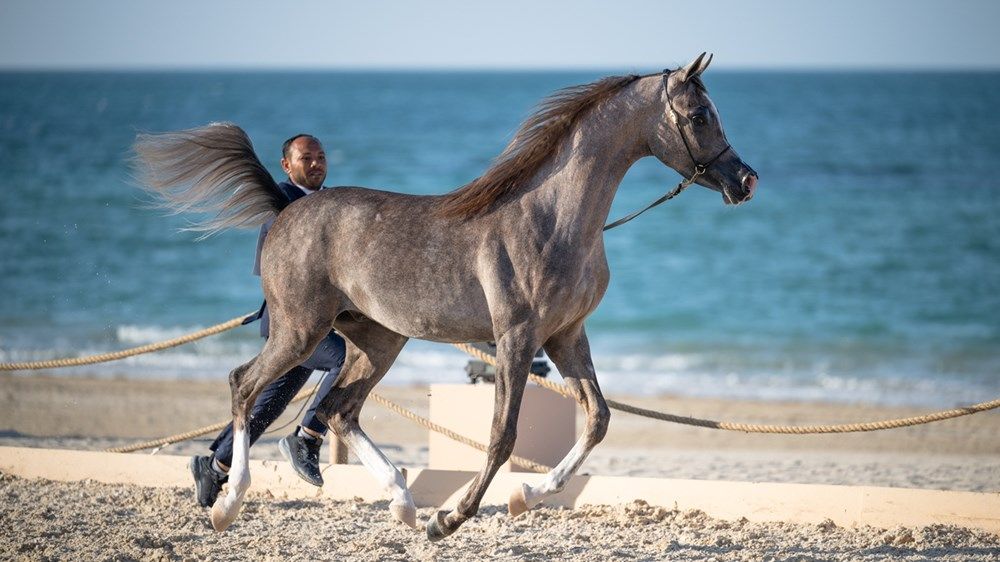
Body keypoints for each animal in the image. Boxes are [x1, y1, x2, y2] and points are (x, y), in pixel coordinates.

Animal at [135, 53, 756, 540]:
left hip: (378, 340)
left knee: (340, 410)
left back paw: (402, 503)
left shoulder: (565, 335)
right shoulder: (516, 338)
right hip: (299, 330)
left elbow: (598, 418)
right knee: (245, 385)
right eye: (699, 115)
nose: (745, 180)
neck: (553, 219)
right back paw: (228, 504)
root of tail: (288, 209)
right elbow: (502, 437)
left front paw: (524, 498)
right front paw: (451, 520)